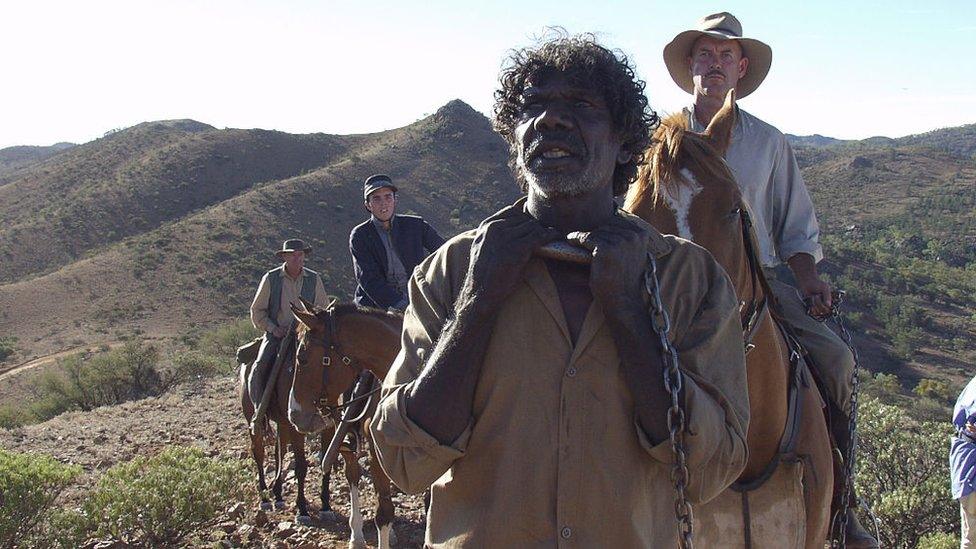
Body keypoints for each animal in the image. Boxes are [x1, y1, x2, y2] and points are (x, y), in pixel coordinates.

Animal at [288, 300, 402, 548]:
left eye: (302, 358)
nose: (294, 414)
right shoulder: (376, 453)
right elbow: (384, 513)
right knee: (353, 475)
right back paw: (356, 535)